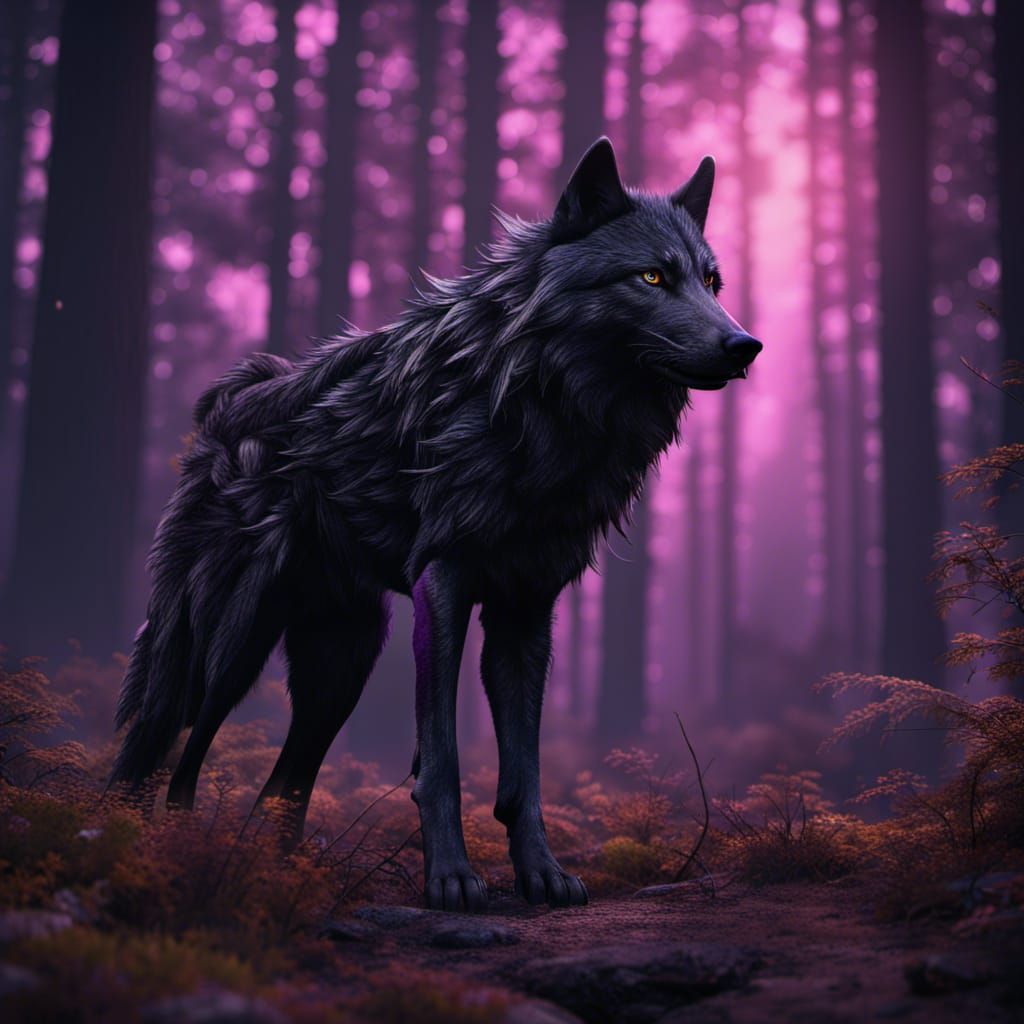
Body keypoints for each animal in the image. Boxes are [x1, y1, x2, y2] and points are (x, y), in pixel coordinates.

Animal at [111, 137, 761, 911]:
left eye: (712, 282)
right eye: (653, 276)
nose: (745, 346)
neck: (543, 406)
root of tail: (226, 404)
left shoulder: (526, 609)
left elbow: (524, 772)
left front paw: (541, 874)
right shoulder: (444, 584)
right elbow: (442, 758)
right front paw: (451, 878)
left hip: (339, 671)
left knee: (279, 788)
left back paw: (278, 877)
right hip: (226, 652)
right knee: (168, 763)